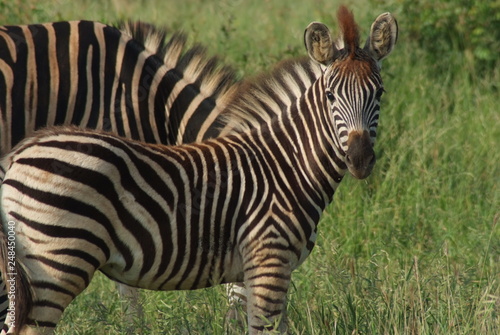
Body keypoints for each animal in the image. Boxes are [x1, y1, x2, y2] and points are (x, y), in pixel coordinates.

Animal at [0, 5, 398, 335]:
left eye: (379, 93)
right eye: (331, 96)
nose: (360, 159)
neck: (285, 164)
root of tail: (19, 155)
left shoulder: (270, 267)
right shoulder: (267, 260)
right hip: (56, 265)